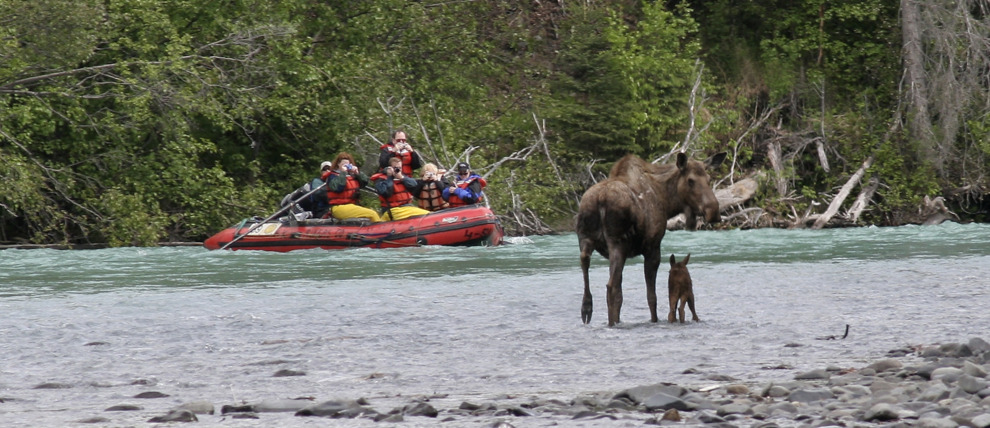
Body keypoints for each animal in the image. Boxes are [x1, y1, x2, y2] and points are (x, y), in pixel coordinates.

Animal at [577, 152, 725, 326]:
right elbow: (652, 297)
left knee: (588, 270)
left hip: (584, 239)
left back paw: (587, 311)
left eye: (709, 179)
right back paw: (611, 323)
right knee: (611, 287)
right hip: (617, 243)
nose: (713, 212)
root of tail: (599, 199)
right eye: (690, 180)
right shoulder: (653, 247)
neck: (667, 201)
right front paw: (654, 320)